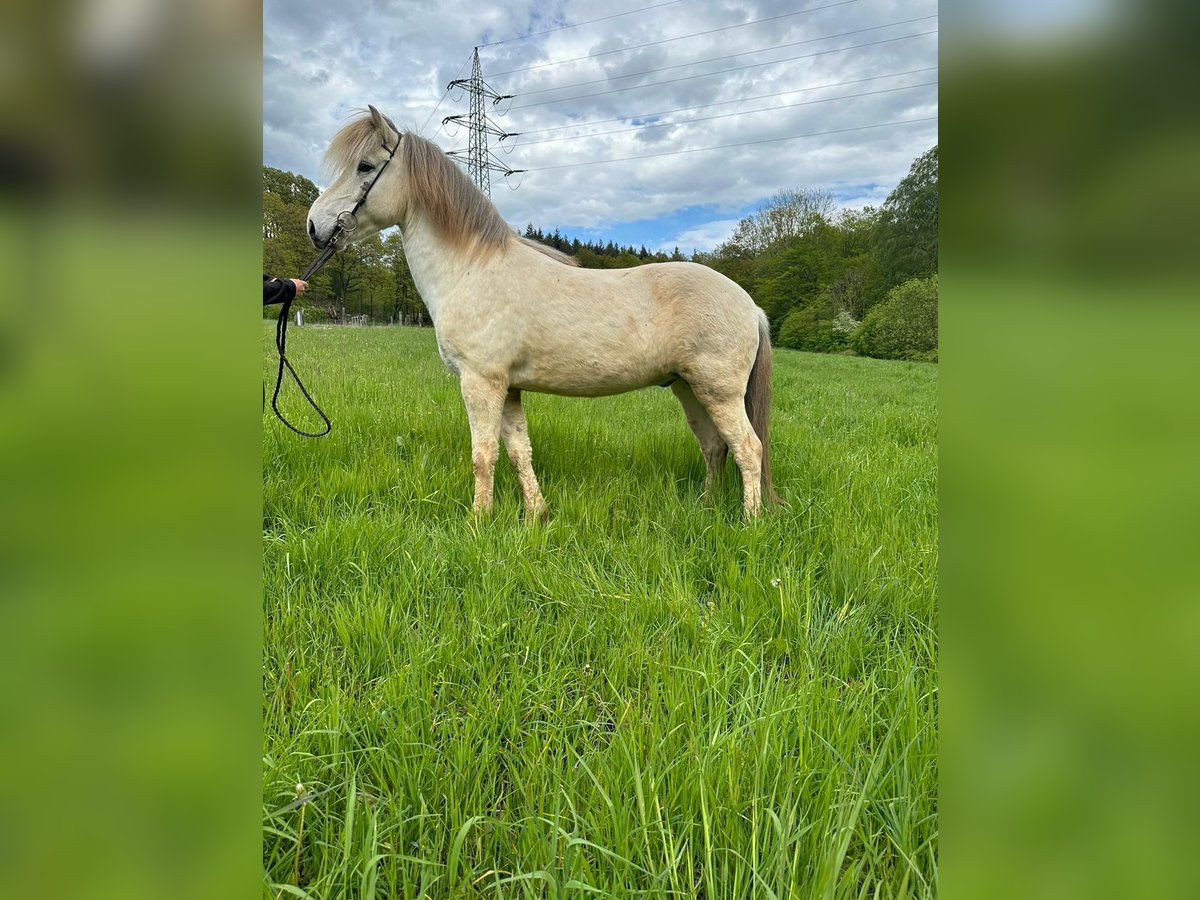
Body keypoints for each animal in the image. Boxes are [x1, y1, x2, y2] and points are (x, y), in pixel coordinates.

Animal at [304, 109, 782, 520]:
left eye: (365, 166)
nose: (314, 226)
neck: (472, 269)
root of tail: (749, 304)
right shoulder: (509, 388)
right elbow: (519, 452)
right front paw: (538, 514)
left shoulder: (481, 383)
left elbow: (483, 456)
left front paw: (479, 521)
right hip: (688, 388)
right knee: (715, 447)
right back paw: (707, 506)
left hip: (718, 392)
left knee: (748, 448)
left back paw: (749, 522)